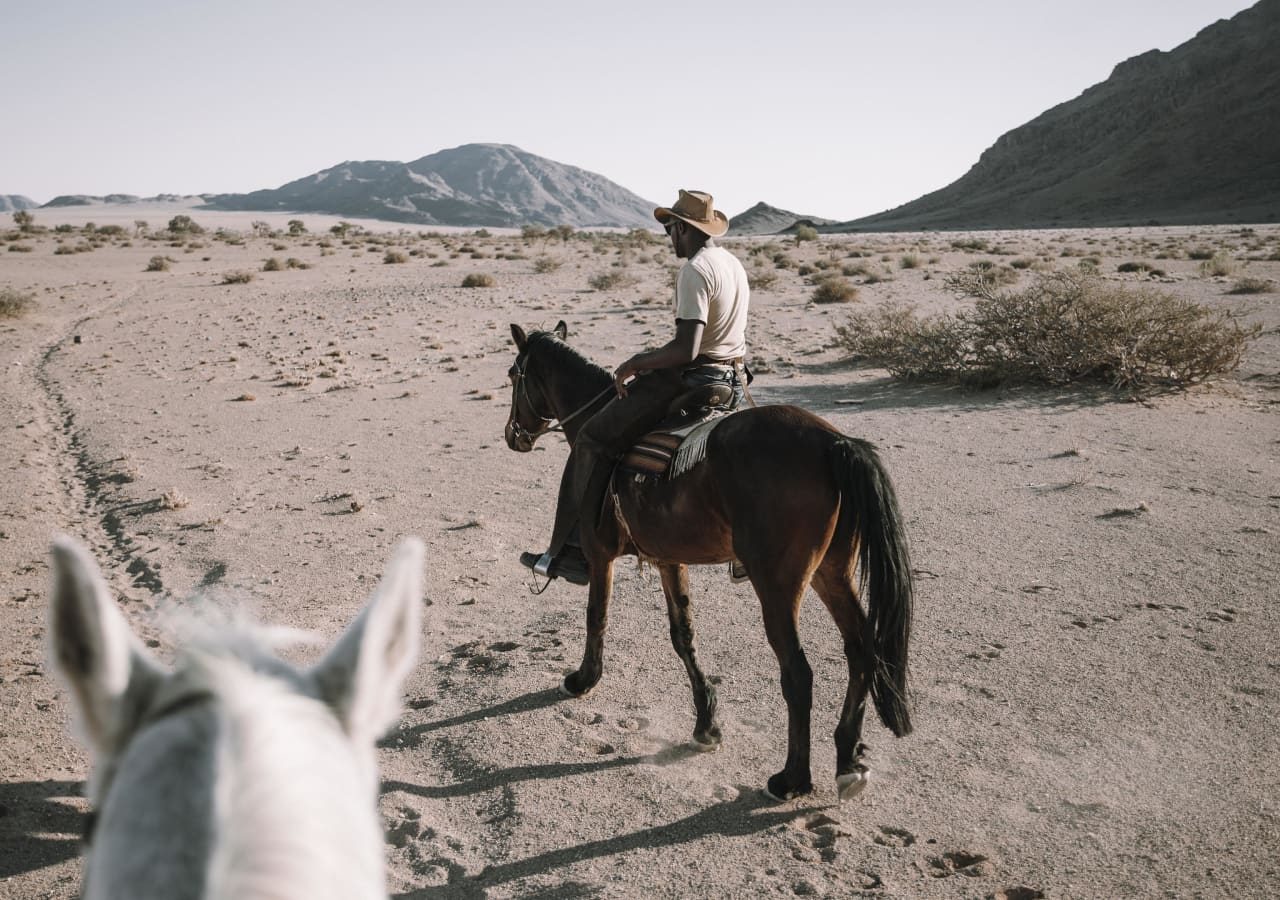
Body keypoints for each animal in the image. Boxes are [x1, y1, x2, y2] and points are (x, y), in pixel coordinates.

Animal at [504, 323, 916, 803]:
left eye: (513, 374)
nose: (513, 435)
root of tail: (834, 443)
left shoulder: (601, 552)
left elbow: (596, 616)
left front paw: (583, 679)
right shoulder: (669, 559)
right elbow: (683, 635)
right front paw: (706, 722)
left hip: (778, 585)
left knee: (798, 673)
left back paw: (791, 779)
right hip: (832, 571)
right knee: (861, 647)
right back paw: (848, 758)